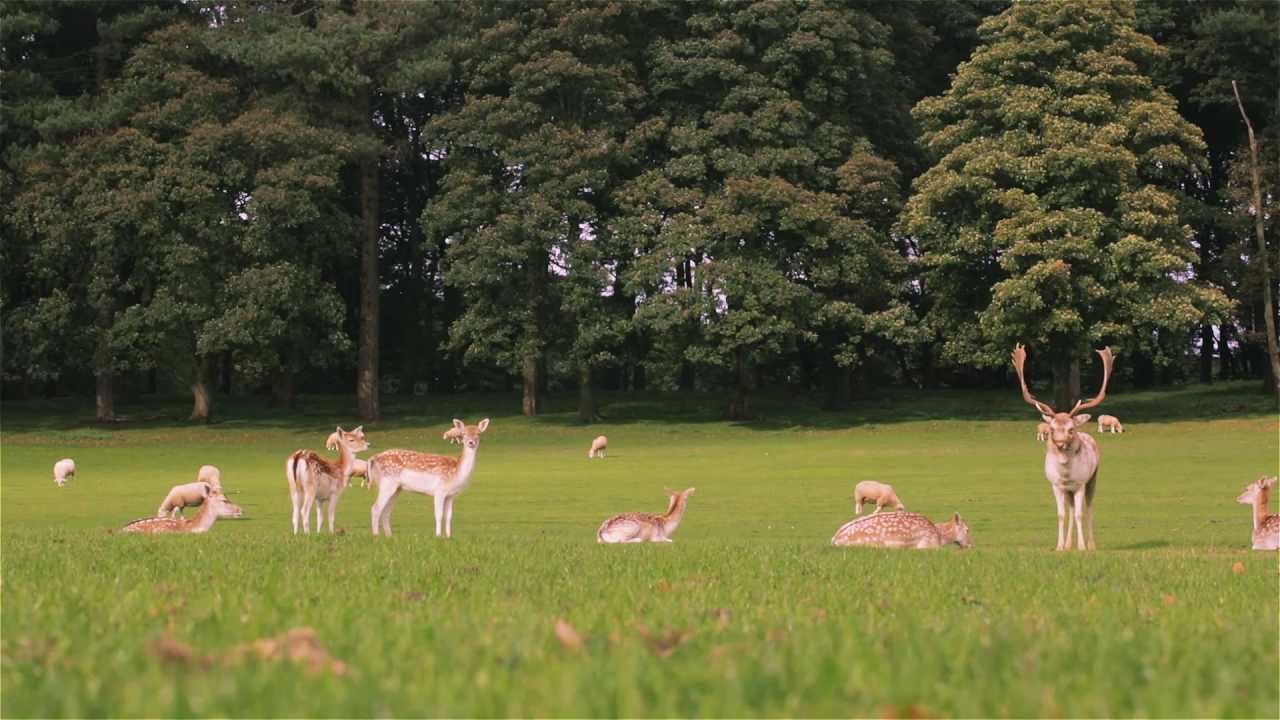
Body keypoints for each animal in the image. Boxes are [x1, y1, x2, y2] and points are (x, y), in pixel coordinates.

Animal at [1012, 343, 1115, 551]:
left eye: (1071, 429)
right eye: (1052, 429)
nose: (1060, 444)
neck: (1066, 474)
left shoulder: (1080, 483)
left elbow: (1080, 514)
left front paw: (1082, 547)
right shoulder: (1056, 485)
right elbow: (1062, 514)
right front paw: (1059, 546)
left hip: (1092, 479)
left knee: (1088, 508)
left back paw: (1091, 544)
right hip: (1068, 491)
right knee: (1071, 509)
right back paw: (1068, 544)